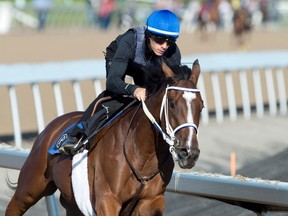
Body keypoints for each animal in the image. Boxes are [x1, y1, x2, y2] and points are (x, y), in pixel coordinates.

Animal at [4, 59, 202, 216]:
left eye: (201, 106)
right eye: (172, 104)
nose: (188, 152)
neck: (142, 153)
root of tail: (52, 126)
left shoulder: (151, 201)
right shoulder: (107, 200)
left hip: (72, 201)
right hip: (30, 186)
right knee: (14, 206)